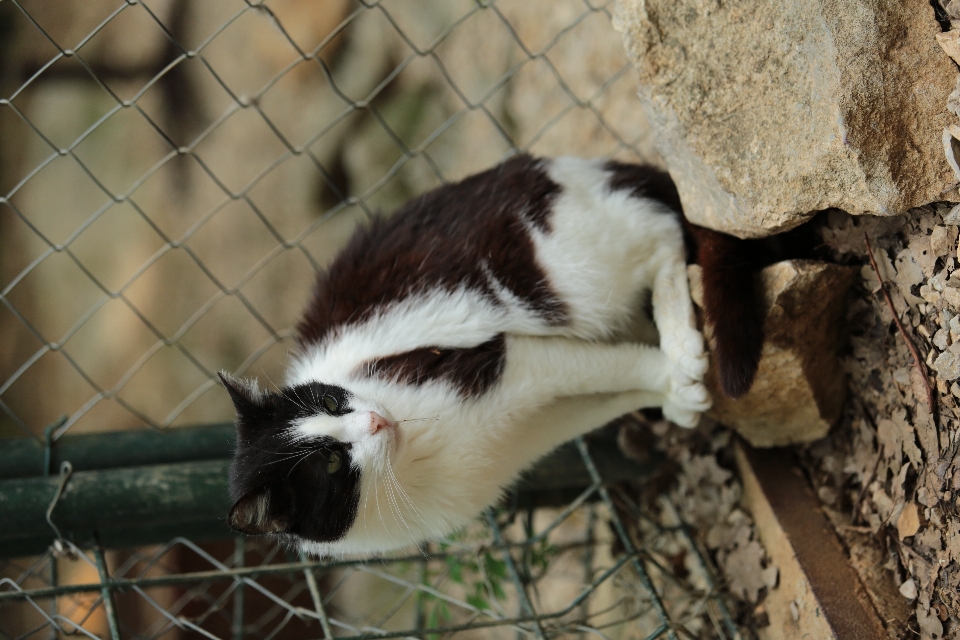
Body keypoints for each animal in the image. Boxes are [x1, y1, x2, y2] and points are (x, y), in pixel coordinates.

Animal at [221, 154, 760, 556]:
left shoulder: (500, 358)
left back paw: (681, 337)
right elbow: (604, 395)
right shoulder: (527, 428)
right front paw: (673, 395)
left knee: (662, 236)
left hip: (566, 271)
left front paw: (675, 374)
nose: (375, 421)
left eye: (332, 402)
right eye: (332, 465)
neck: (406, 467)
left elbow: (606, 366)